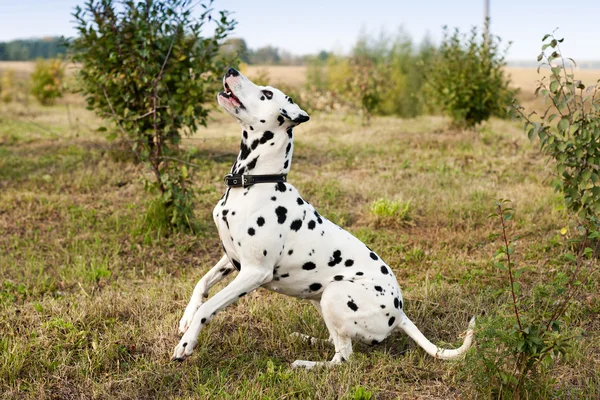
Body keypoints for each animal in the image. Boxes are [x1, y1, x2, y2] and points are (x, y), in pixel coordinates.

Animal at [171, 66, 476, 368]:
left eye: (266, 93)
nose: (231, 69)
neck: (254, 181)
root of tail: (400, 314)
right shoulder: (232, 259)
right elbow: (201, 284)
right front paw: (186, 319)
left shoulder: (254, 271)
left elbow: (210, 306)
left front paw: (187, 343)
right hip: (319, 298)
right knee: (336, 341)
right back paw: (307, 340)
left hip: (334, 294)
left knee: (343, 358)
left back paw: (305, 365)